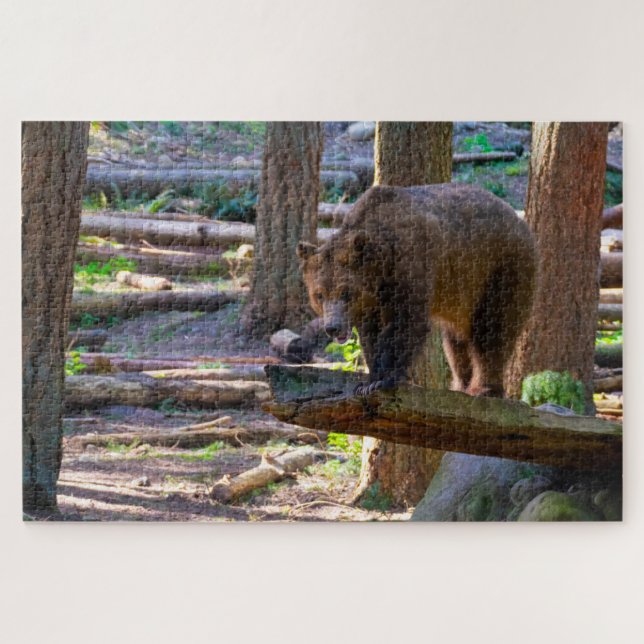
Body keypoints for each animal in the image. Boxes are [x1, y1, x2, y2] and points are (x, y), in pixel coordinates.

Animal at [297, 183, 537, 397]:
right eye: (319, 295)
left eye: (345, 292)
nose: (333, 327)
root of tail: (521, 221)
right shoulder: (372, 303)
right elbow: (370, 335)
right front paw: (369, 379)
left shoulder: (412, 267)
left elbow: (406, 325)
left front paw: (384, 379)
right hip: (461, 295)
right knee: (455, 342)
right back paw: (460, 385)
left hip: (499, 269)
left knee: (491, 331)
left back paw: (484, 389)